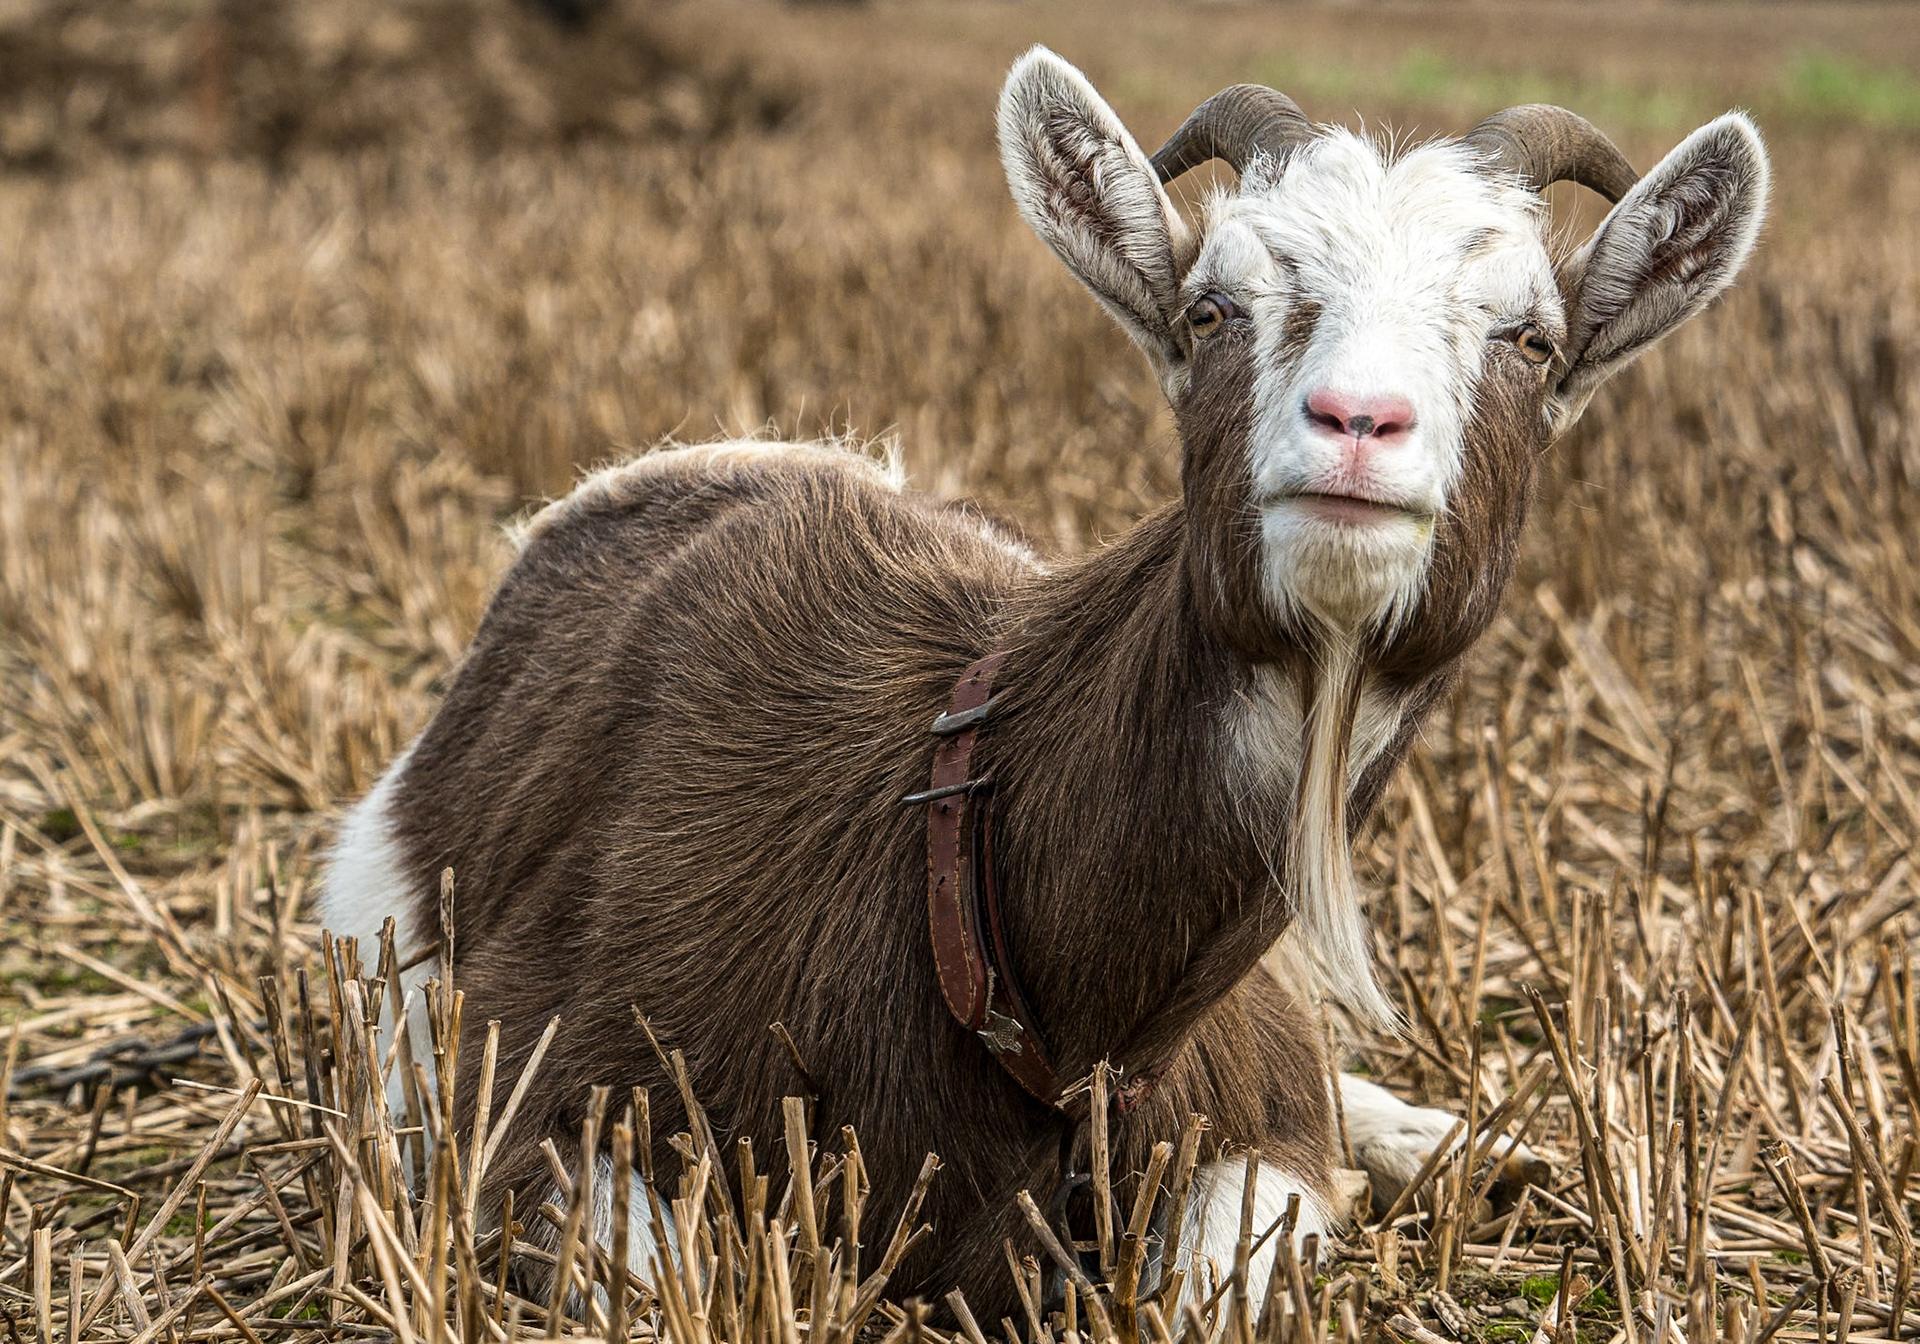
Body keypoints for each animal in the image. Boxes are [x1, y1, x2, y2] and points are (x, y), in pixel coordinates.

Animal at [322, 48, 1768, 1318]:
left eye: (1531, 341)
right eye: (1211, 310)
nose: (1360, 425)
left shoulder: (1254, 1121)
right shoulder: (539, 1095)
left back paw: (1451, 1141)